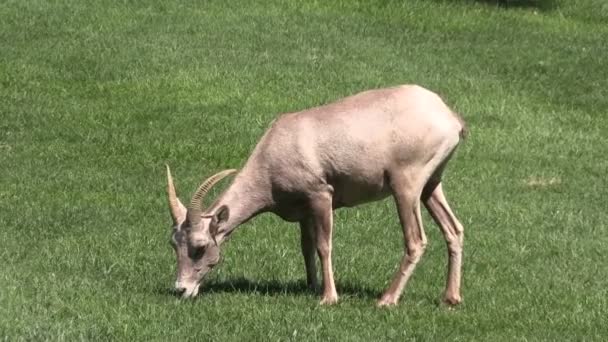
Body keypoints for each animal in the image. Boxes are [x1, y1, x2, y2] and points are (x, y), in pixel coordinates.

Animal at [166, 84, 466, 306]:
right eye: (173, 244)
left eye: (199, 246)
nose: (182, 290)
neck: (279, 144)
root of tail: (450, 117)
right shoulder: (304, 211)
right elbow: (306, 246)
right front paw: (312, 287)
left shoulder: (321, 197)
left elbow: (323, 245)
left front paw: (328, 298)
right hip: (431, 186)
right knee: (454, 229)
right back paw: (450, 298)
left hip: (406, 187)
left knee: (416, 240)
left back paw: (387, 300)